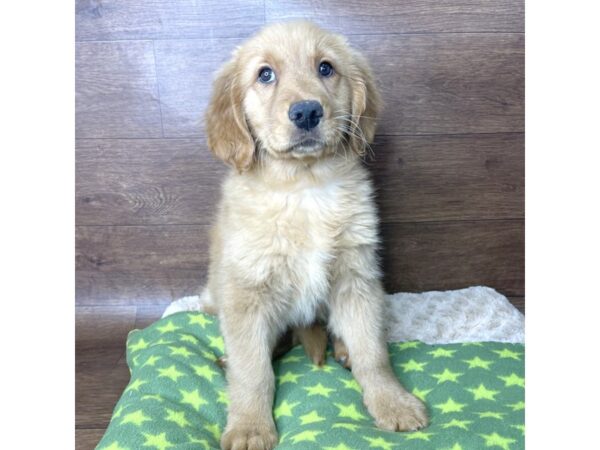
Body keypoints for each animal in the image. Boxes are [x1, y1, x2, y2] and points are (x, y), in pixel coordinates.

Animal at [204, 20, 428, 446]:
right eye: (265, 75)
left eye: (325, 68)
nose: (307, 111)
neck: (304, 188)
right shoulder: (245, 293)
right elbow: (252, 370)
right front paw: (249, 426)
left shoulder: (356, 278)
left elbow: (373, 353)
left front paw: (392, 402)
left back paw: (342, 349)